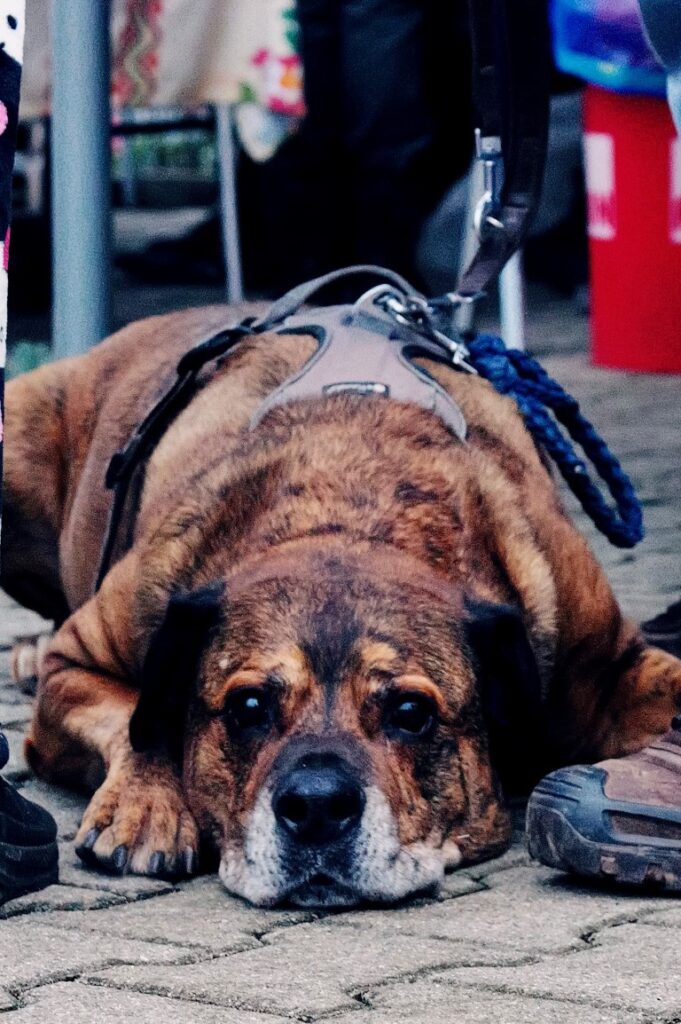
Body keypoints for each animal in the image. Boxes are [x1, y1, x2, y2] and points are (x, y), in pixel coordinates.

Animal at [3, 304, 681, 907]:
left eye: (411, 712)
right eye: (248, 707)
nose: (317, 805)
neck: (349, 511)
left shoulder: (608, 662)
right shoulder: (83, 657)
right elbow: (133, 721)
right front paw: (146, 802)